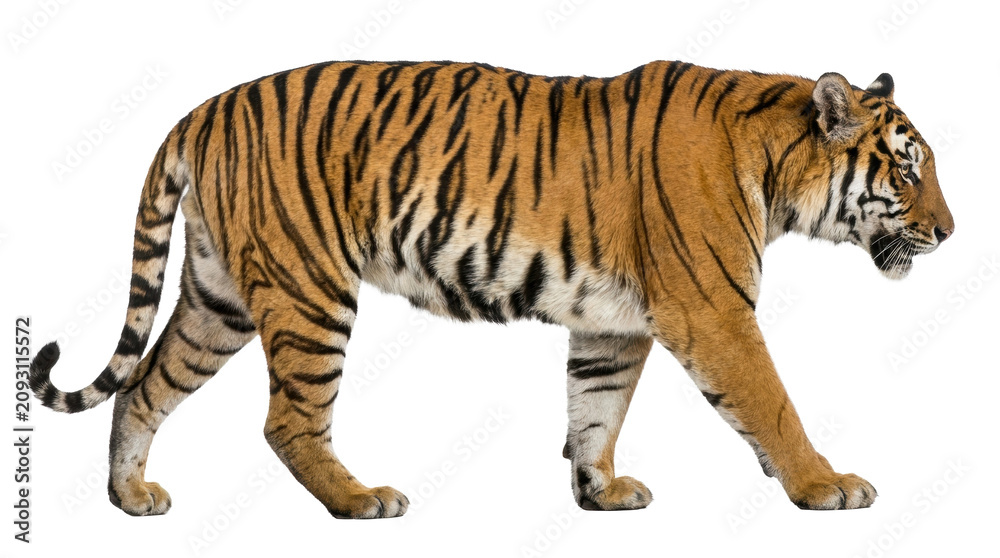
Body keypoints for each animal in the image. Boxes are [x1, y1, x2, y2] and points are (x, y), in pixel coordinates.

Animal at [29, 59, 954, 519]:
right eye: (908, 171)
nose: (950, 233)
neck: (775, 171)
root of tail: (204, 109)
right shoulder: (713, 312)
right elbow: (772, 404)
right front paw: (826, 485)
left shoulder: (613, 325)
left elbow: (595, 410)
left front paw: (600, 492)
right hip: (310, 291)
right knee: (287, 421)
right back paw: (361, 500)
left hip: (218, 297)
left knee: (144, 387)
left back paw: (130, 498)